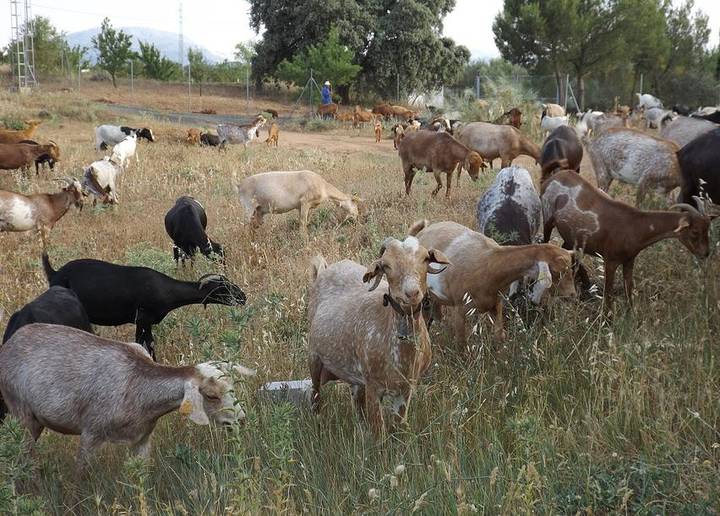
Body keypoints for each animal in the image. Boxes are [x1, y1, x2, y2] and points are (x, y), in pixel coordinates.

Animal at [0, 326, 256, 472]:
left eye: (233, 387)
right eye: (211, 395)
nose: (241, 420)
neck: (138, 390)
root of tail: (9, 344)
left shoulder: (142, 439)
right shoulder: (91, 432)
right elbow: (80, 476)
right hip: (22, 415)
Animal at [42, 253, 246, 358]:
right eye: (223, 288)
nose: (243, 297)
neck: (166, 289)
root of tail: (54, 274)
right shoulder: (143, 318)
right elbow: (146, 344)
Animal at [308, 237, 450, 432]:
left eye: (425, 259)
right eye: (386, 265)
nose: (412, 293)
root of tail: (324, 270)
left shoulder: (405, 390)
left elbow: (398, 428)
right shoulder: (374, 387)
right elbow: (379, 432)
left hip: (356, 377)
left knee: (357, 403)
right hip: (314, 357)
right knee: (315, 395)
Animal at [410, 219, 572, 342]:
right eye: (558, 271)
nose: (571, 295)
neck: (490, 264)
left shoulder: (496, 304)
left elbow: (499, 336)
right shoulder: (460, 309)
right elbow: (461, 343)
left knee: (437, 314)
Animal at [544, 171, 716, 312]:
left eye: (707, 228)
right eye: (695, 231)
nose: (706, 253)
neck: (634, 226)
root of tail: (557, 175)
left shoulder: (629, 260)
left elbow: (629, 287)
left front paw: (630, 314)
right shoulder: (610, 261)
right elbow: (608, 292)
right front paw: (607, 319)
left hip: (572, 237)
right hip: (547, 217)